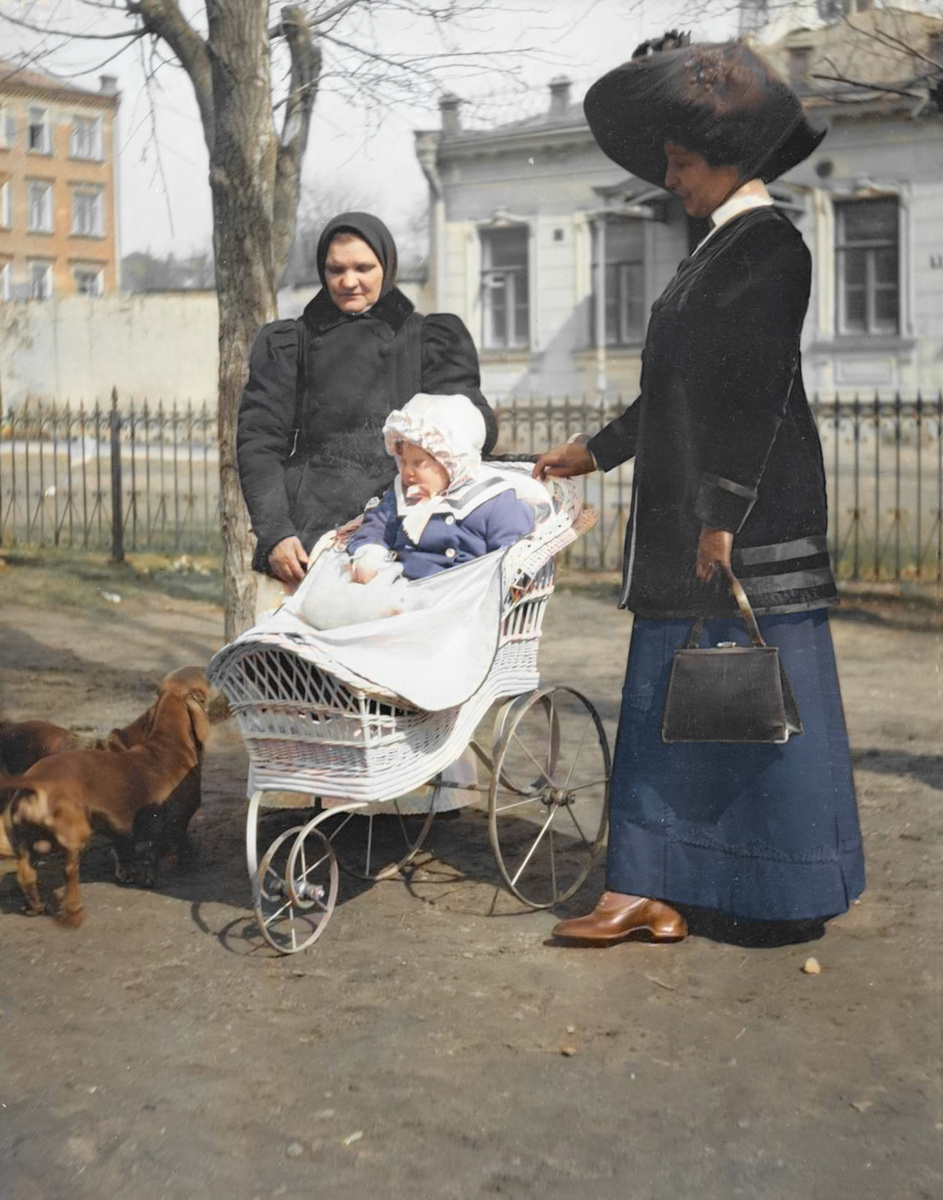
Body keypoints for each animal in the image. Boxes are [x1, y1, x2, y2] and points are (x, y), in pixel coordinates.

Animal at [1, 672, 211, 921]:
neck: (166, 746)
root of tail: (33, 781)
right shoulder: (176, 822)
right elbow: (172, 847)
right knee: (65, 871)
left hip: (32, 837)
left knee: (26, 873)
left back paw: (36, 906)